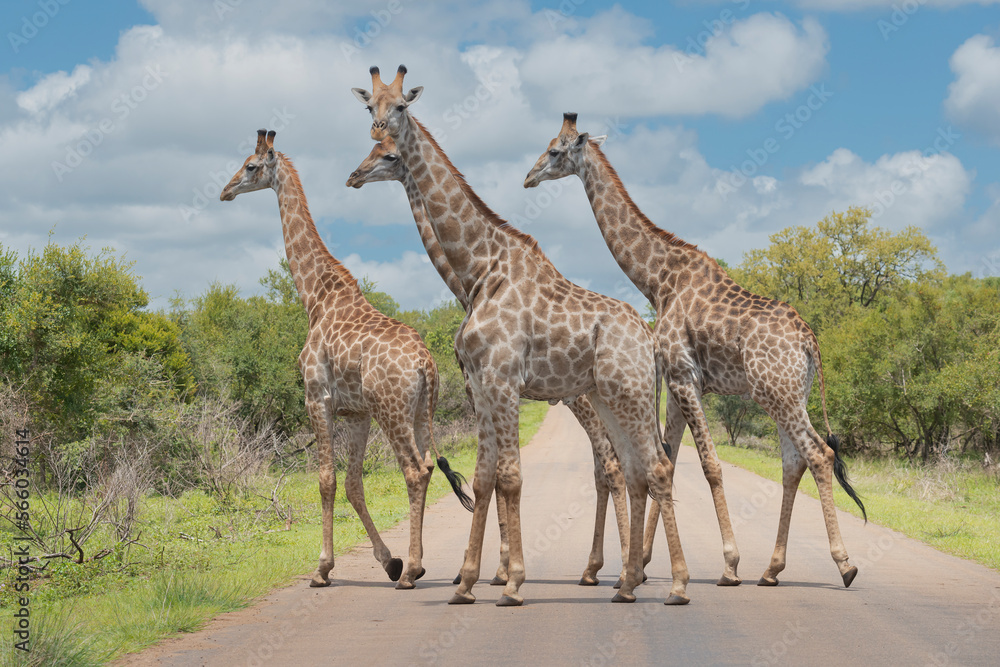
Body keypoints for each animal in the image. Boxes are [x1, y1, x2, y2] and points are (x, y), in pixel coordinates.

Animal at [220, 129, 472, 590]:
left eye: (250, 165)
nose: (226, 190)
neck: (315, 297)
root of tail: (426, 365)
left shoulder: (316, 398)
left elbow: (326, 480)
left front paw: (323, 569)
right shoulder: (356, 412)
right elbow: (354, 483)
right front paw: (387, 561)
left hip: (392, 411)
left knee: (414, 470)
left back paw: (412, 571)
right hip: (419, 412)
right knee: (429, 465)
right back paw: (414, 564)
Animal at [346, 138, 632, 588]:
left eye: (388, 155)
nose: (355, 176)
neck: (468, 284)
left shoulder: (481, 384)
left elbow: (497, 472)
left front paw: (492, 570)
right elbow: (495, 472)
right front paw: (496, 569)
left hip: (586, 399)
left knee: (612, 464)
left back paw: (613, 570)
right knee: (610, 464)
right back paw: (603, 568)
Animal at [523, 113, 867, 588]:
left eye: (554, 150)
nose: (529, 177)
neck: (658, 279)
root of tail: (809, 339)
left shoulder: (684, 375)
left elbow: (708, 464)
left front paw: (728, 565)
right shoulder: (681, 380)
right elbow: (669, 457)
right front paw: (646, 561)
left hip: (776, 392)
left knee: (819, 454)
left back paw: (844, 563)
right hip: (790, 394)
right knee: (793, 462)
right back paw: (771, 569)